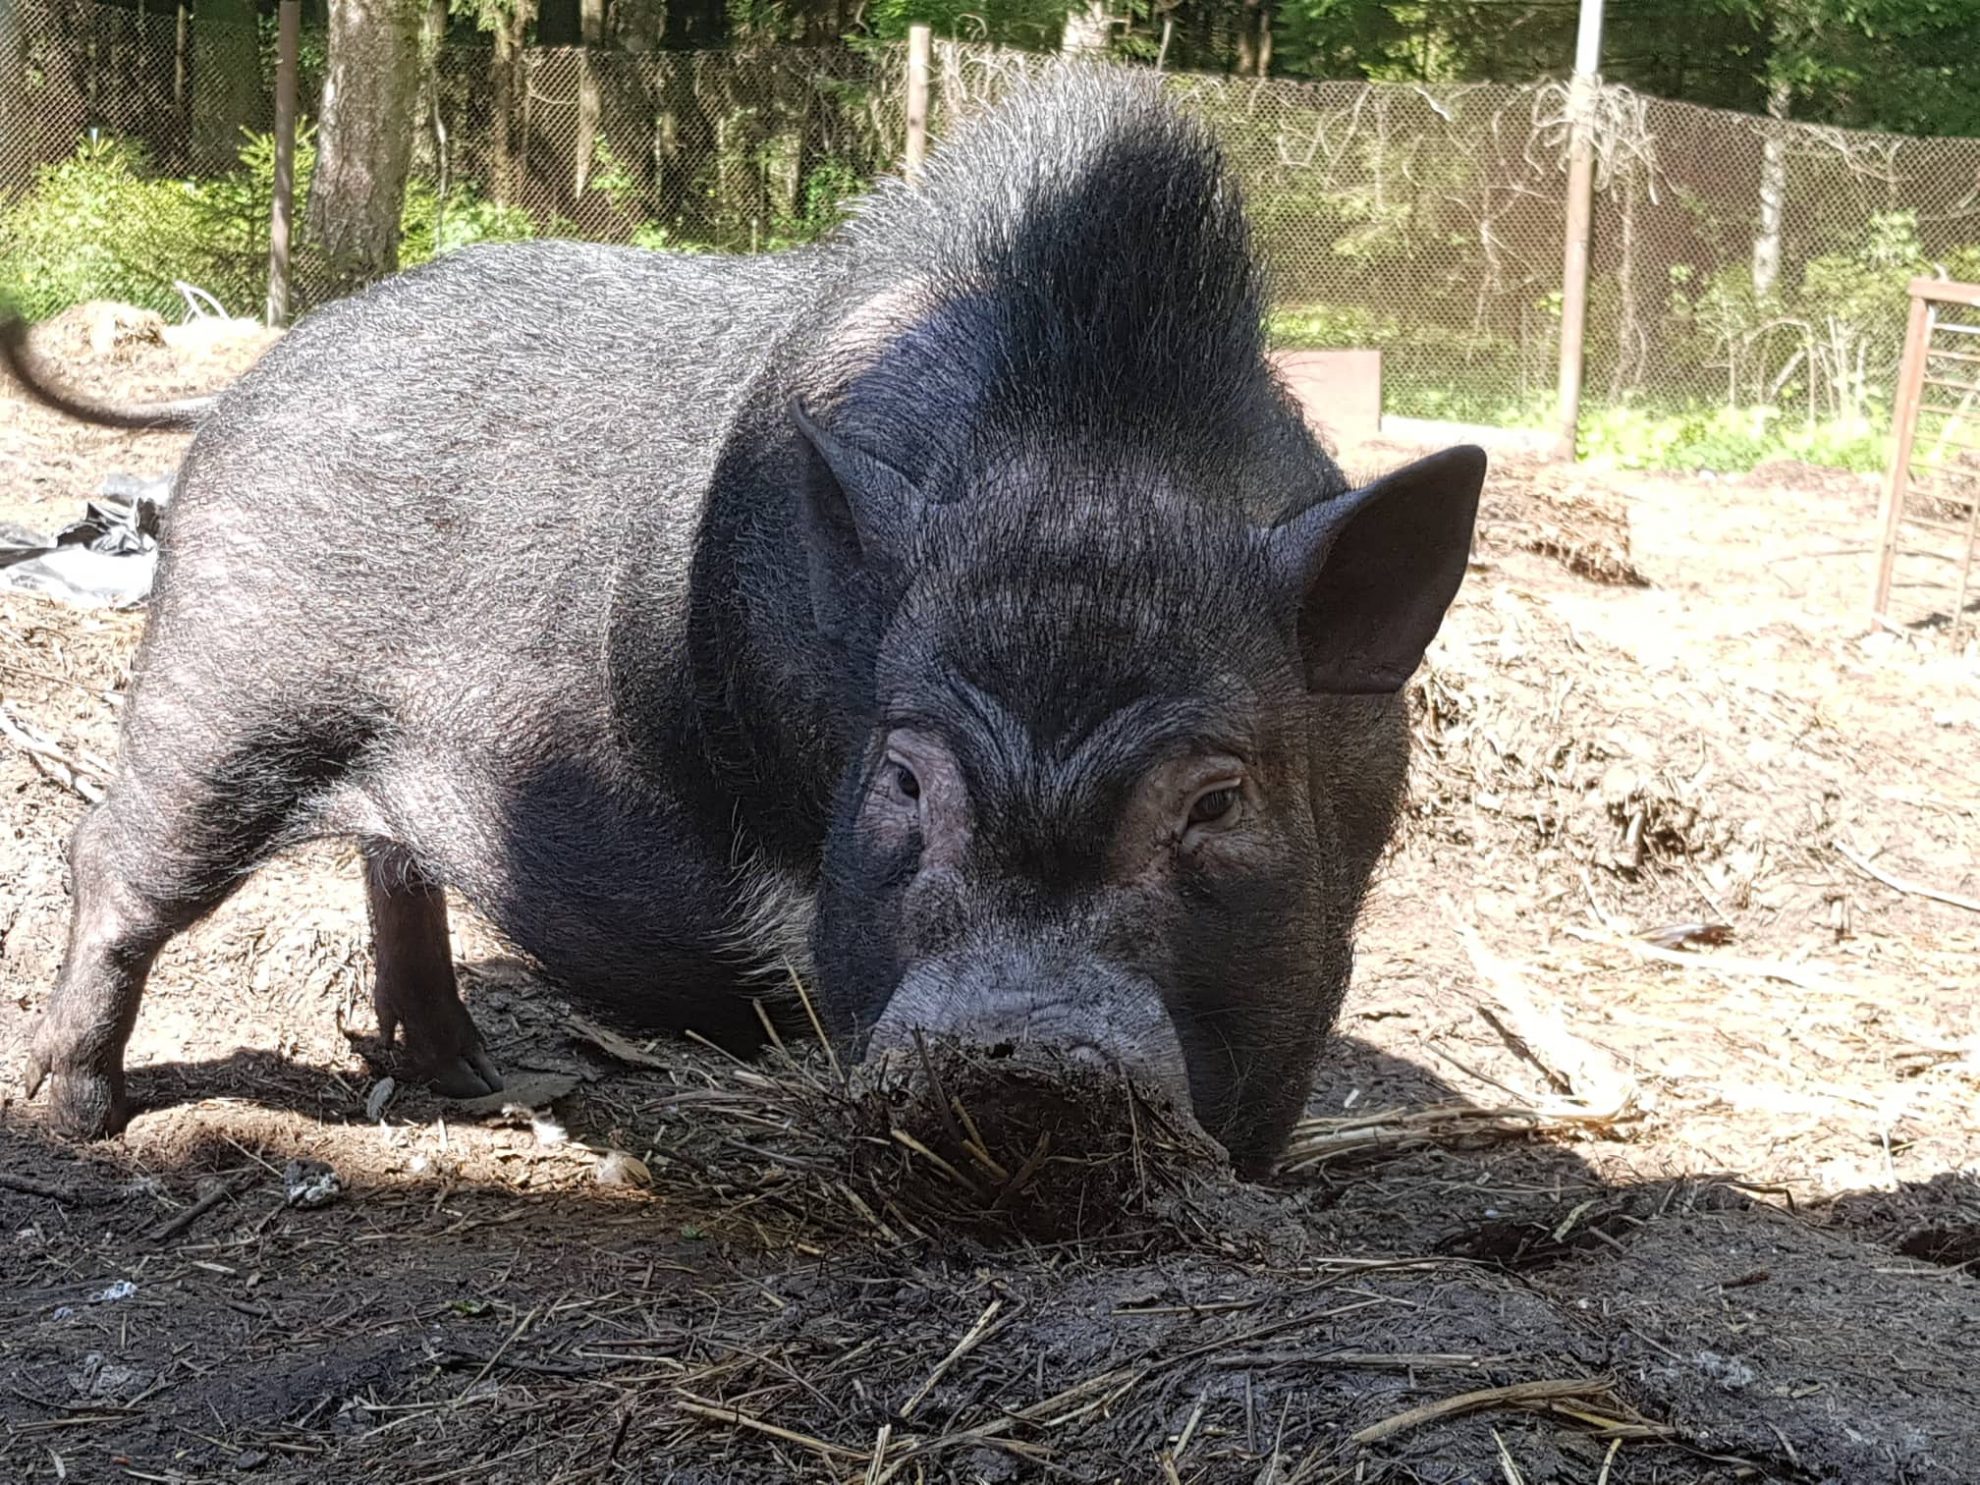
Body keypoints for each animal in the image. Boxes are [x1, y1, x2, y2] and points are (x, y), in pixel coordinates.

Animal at [7, 63, 1481, 1180]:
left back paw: (469, 1079)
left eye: (1218, 801)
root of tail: (249, 382)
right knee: (115, 861)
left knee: (392, 866)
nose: (1011, 1046)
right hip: (226, 687)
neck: (1093, 463)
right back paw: (80, 1118)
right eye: (902, 779)